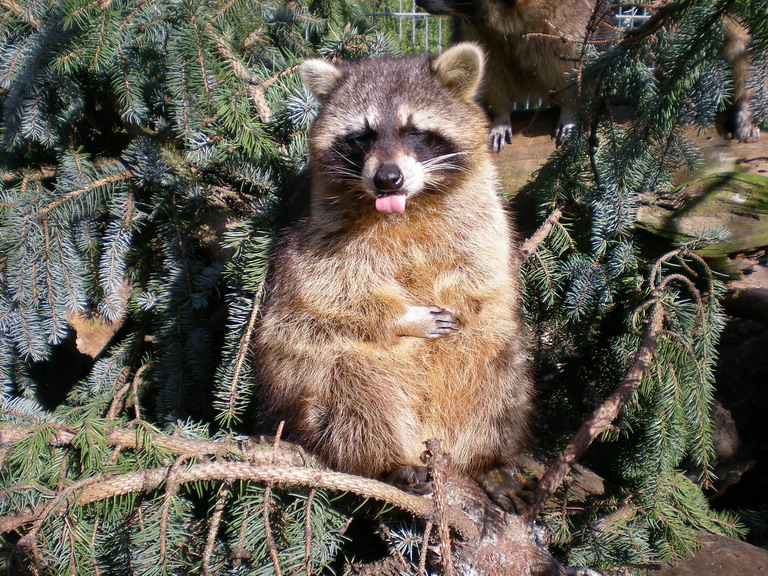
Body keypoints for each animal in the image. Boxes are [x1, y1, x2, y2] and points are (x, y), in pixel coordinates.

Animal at [252, 41, 536, 490]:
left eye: (414, 132)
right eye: (361, 136)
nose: (387, 178)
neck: (408, 207)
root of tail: (430, 432)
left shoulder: (481, 211)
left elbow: (484, 267)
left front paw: (462, 296)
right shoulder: (317, 230)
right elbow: (325, 291)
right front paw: (405, 317)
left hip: (492, 361)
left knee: (498, 383)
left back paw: (486, 459)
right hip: (307, 380)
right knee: (351, 387)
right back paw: (388, 461)